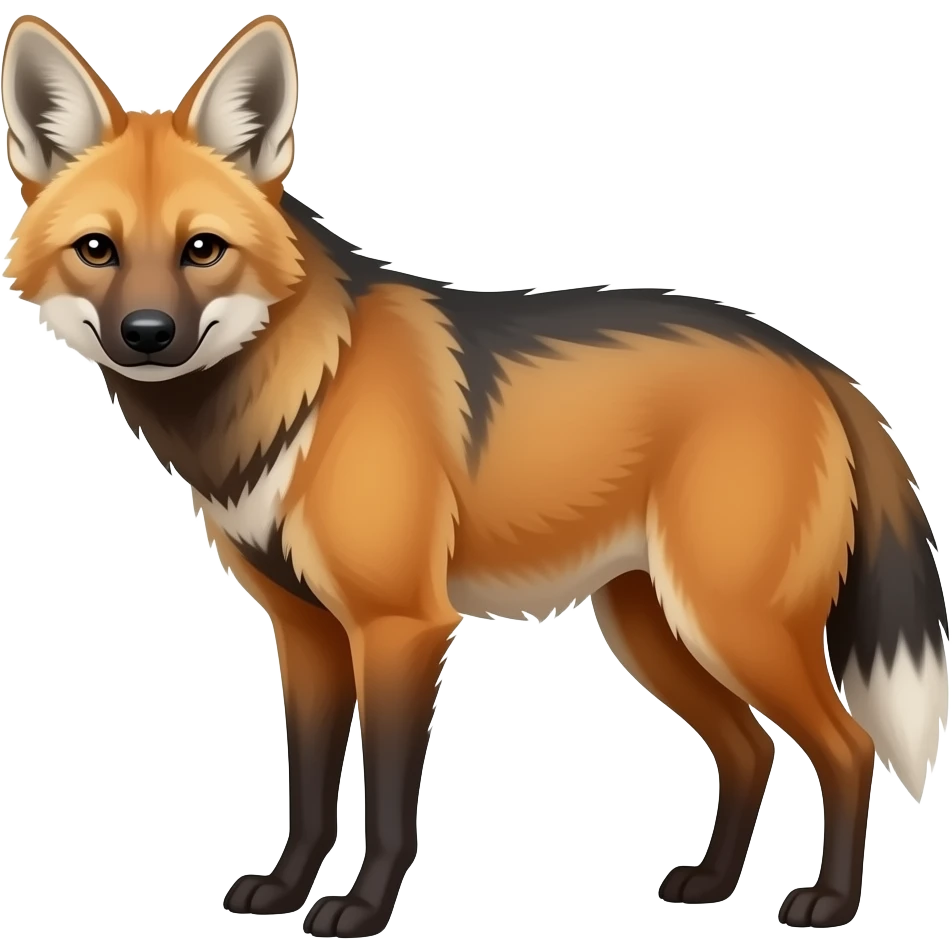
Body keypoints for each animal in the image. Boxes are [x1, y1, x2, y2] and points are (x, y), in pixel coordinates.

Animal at [1, 13, 948, 938]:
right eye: (98, 249)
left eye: (203, 249)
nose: (146, 333)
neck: (304, 392)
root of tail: (810, 361)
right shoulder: (304, 631)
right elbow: (310, 791)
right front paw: (285, 890)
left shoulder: (400, 624)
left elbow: (388, 800)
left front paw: (361, 910)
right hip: (658, 633)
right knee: (750, 749)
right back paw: (712, 883)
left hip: (732, 625)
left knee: (849, 747)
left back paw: (831, 903)